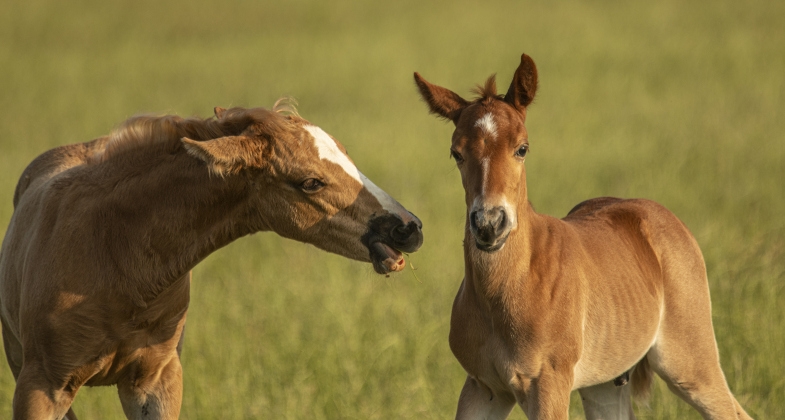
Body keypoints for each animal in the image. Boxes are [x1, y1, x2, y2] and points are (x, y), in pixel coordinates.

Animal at [414, 54, 751, 419]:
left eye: (522, 148)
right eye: (456, 153)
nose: (489, 224)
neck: (506, 290)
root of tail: (663, 216)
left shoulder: (548, 383)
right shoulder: (483, 388)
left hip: (689, 363)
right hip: (605, 382)